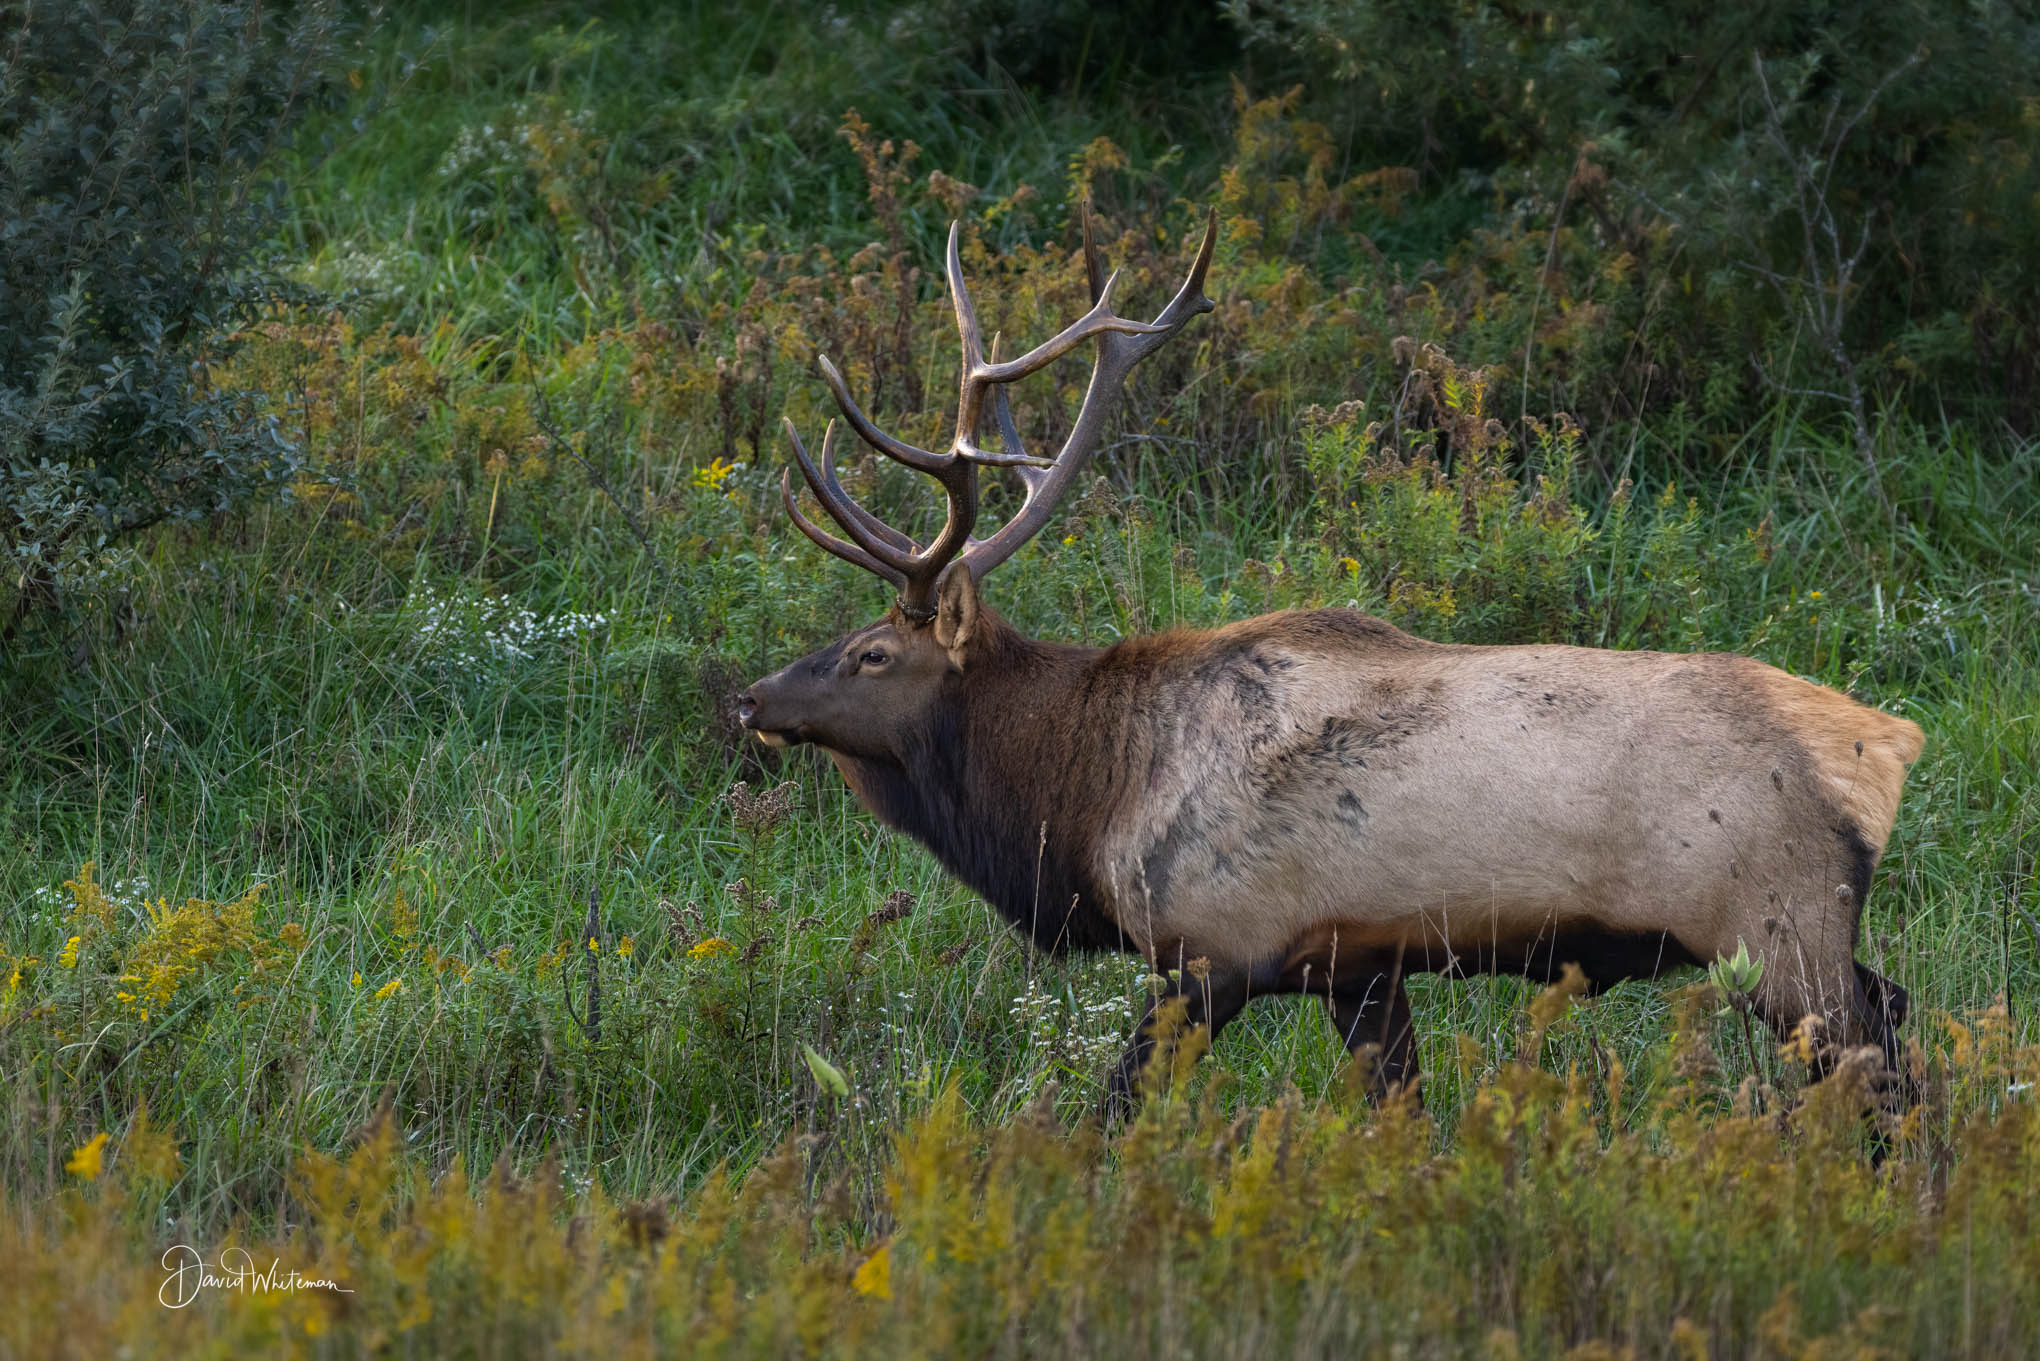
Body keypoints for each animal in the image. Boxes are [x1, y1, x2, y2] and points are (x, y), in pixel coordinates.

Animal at [736, 209, 1925, 1114]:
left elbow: (1115, 1103)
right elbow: (1398, 1107)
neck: (1086, 794)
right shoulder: (1354, 964)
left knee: (1885, 1063)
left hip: (1779, 925)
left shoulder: (1216, 949)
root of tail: (1887, 745)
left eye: (871, 652)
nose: (750, 696)